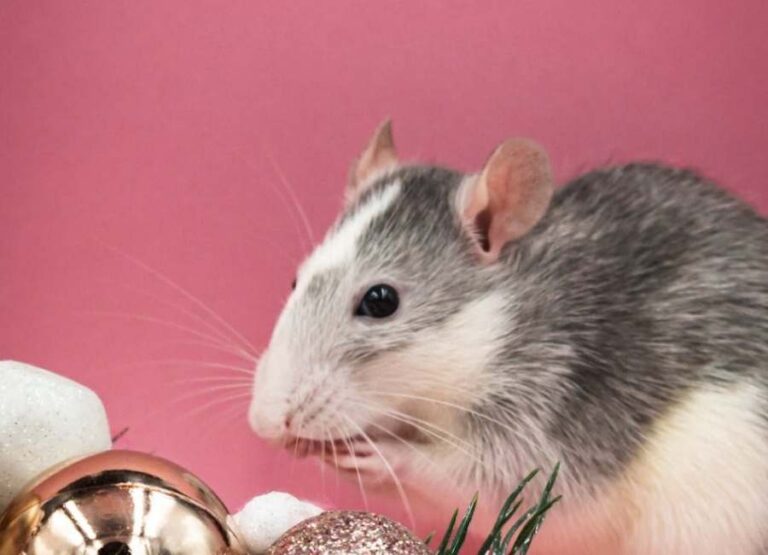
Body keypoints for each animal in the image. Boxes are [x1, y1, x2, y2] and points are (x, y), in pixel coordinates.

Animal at [248, 121, 768, 555]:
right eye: (294, 282)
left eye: (380, 300)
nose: (266, 421)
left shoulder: (555, 395)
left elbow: (502, 479)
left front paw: (387, 457)